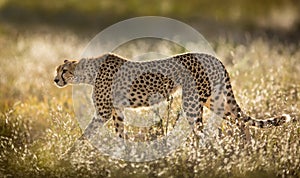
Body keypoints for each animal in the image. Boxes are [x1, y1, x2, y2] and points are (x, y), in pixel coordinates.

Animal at [54, 52, 290, 139]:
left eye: (63, 70)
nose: (55, 80)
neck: (89, 72)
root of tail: (215, 57)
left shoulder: (103, 112)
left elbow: (85, 135)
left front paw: (71, 156)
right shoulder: (117, 111)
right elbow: (121, 134)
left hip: (193, 102)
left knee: (203, 132)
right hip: (212, 99)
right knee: (239, 120)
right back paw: (246, 147)